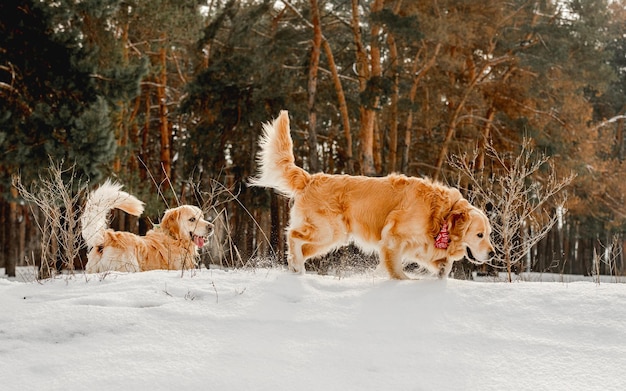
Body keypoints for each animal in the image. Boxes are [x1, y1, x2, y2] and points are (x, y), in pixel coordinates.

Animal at [249, 112, 492, 280]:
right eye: (480, 235)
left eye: (488, 234)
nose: (491, 253)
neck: (441, 215)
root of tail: (311, 178)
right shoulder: (393, 238)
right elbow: (396, 269)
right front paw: (404, 282)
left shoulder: (419, 246)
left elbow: (441, 263)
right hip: (328, 230)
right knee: (293, 235)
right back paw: (297, 266)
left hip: (330, 238)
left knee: (301, 246)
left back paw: (296, 268)